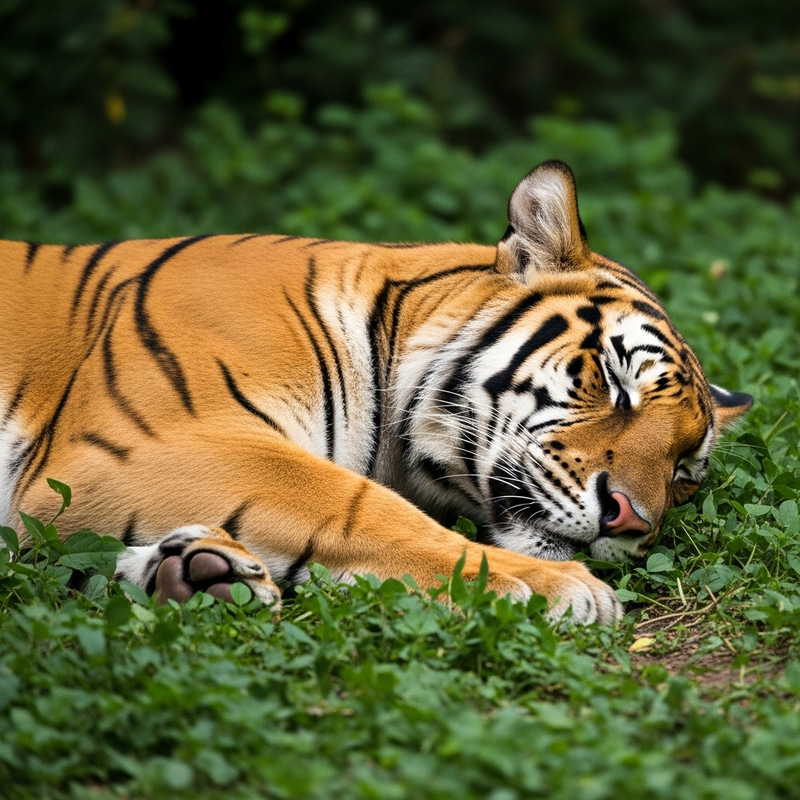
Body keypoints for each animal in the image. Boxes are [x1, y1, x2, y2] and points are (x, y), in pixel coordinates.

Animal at [0, 160, 752, 624]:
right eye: (617, 384)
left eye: (683, 473)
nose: (630, 522)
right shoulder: (143, 443)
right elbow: (360, 509)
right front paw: (557, 586)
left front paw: (191, 571)